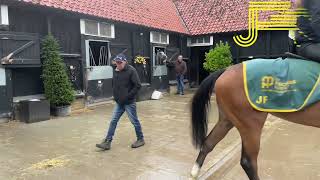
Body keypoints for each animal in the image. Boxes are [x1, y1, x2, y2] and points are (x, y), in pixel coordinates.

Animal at [190, 62, 320, 179]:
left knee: (208, 143)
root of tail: (227, 69)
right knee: (248, 162)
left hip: (227, 120)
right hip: (250, 125)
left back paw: (194, 173)